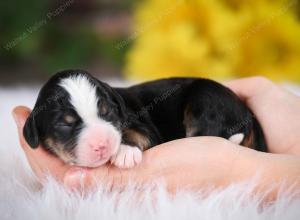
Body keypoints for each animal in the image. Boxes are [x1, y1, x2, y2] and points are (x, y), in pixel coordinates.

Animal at [23, 70, 268, 168]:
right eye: (64, 124)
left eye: (107, 112)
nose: (103, 145)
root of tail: (248, 114)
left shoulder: (144, 127)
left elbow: (135, 133)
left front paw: (124, 151)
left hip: (206, 99)